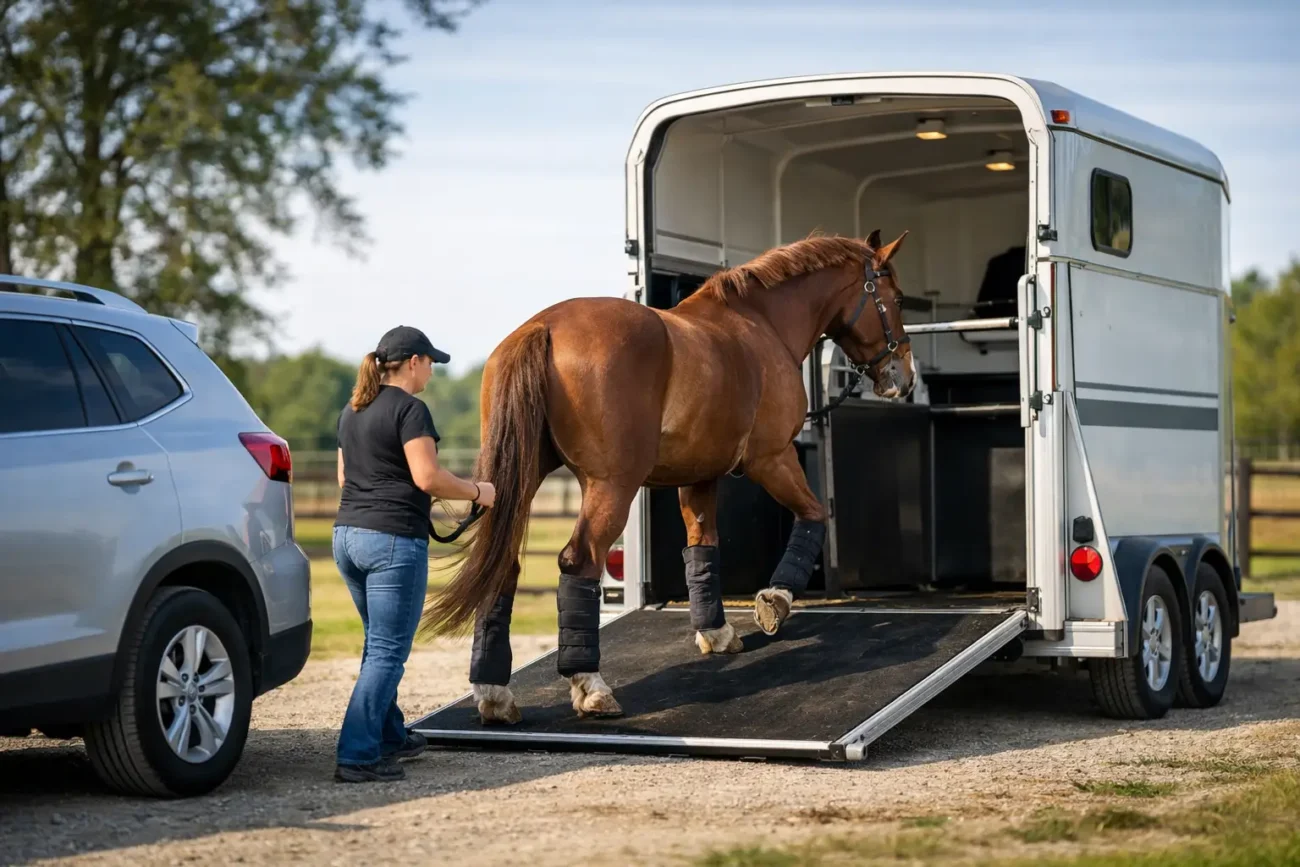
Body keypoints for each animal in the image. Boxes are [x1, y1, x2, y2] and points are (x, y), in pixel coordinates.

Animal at [419, 230, 916, 723]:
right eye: (896, 299)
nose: (905, 378)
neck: (762, 324)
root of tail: (545, 327)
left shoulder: (699, 477)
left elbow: (702, 548)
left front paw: (716, 632)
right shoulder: (772, 459)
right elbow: (813, 516)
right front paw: (775, 599)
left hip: (511, 486)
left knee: (501, 565)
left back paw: (495, 694)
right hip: (611, 486)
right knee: (580, 561)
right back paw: (591, 686)